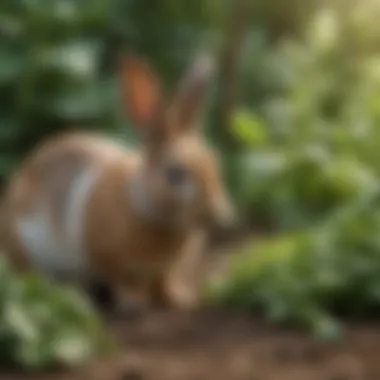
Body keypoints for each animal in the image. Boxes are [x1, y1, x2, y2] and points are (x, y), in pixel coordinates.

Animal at [0, 52, 236, 312]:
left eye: (214, 162)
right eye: (175, 173)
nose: (223, 217)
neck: (145, 207)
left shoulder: (163, 272)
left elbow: (161, 283)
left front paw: (178, 300)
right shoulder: (105, 256)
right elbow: (123, 280)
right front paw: (134, 303)